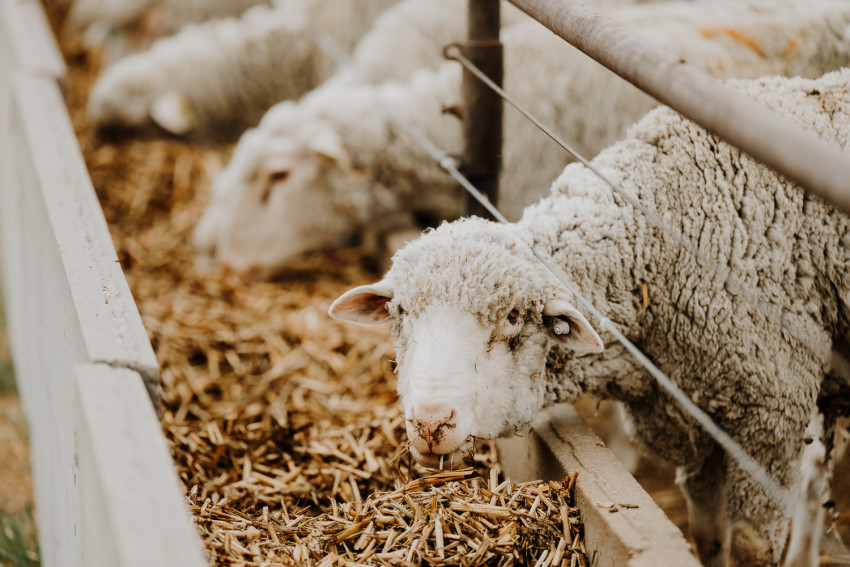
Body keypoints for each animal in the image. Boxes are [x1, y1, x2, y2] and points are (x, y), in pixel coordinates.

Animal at [328, 68, 850, 566]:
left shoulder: (770, 420)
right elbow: (708, 537)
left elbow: (750, 547)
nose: (431, 423)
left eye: (513, 318)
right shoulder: (696, 419)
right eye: (399, 312)